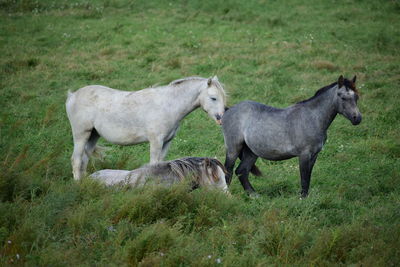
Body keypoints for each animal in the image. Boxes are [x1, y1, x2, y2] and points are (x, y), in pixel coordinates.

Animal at [67, 76, 227, 180]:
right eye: (213, 98)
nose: (221, 118)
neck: (168, 105)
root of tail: (72, 96)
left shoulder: (166, 142)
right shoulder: (156, 141)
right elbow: (153, 164)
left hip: (93, 135)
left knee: (84, 159)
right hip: (81, 135)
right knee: (76, 160)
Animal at [222, 76, 362, 198]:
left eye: (356, 96)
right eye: (343, 97)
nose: (357, 118)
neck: (312, 118)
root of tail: (227, 111)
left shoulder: (314, 155)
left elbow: (308, 177)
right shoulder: (304, 155)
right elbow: (304, 178)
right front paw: (302, 199)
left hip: (251, 152)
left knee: (242, 171)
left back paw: (254, 195)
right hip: (233, 149)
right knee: (228, 171)